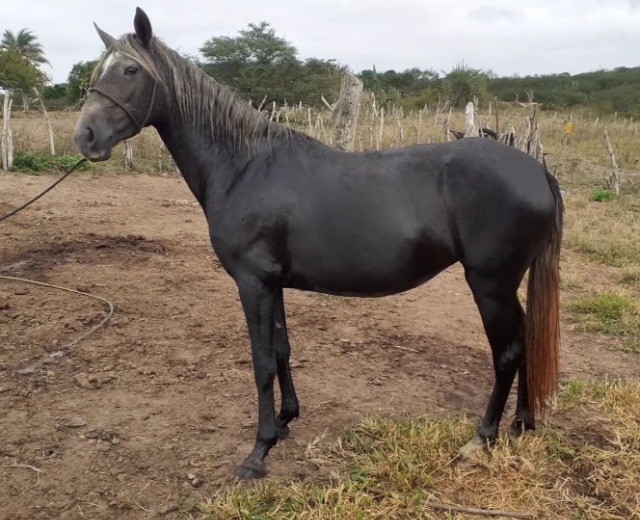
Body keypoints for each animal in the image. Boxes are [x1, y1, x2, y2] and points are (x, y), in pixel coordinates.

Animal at [75, 7, 564, 480]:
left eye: (130, 70)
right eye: (100, 69)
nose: (85, 136)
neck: (244, 166)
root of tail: (536, 170)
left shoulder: (252, 283)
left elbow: (261, 362)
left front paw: (258, 452)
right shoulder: (272, 283)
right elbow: (281, 350)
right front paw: (285, 421)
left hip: (490, 284)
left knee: (508, 353)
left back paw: (482, 438)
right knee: (525, 340)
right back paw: (522, 423)